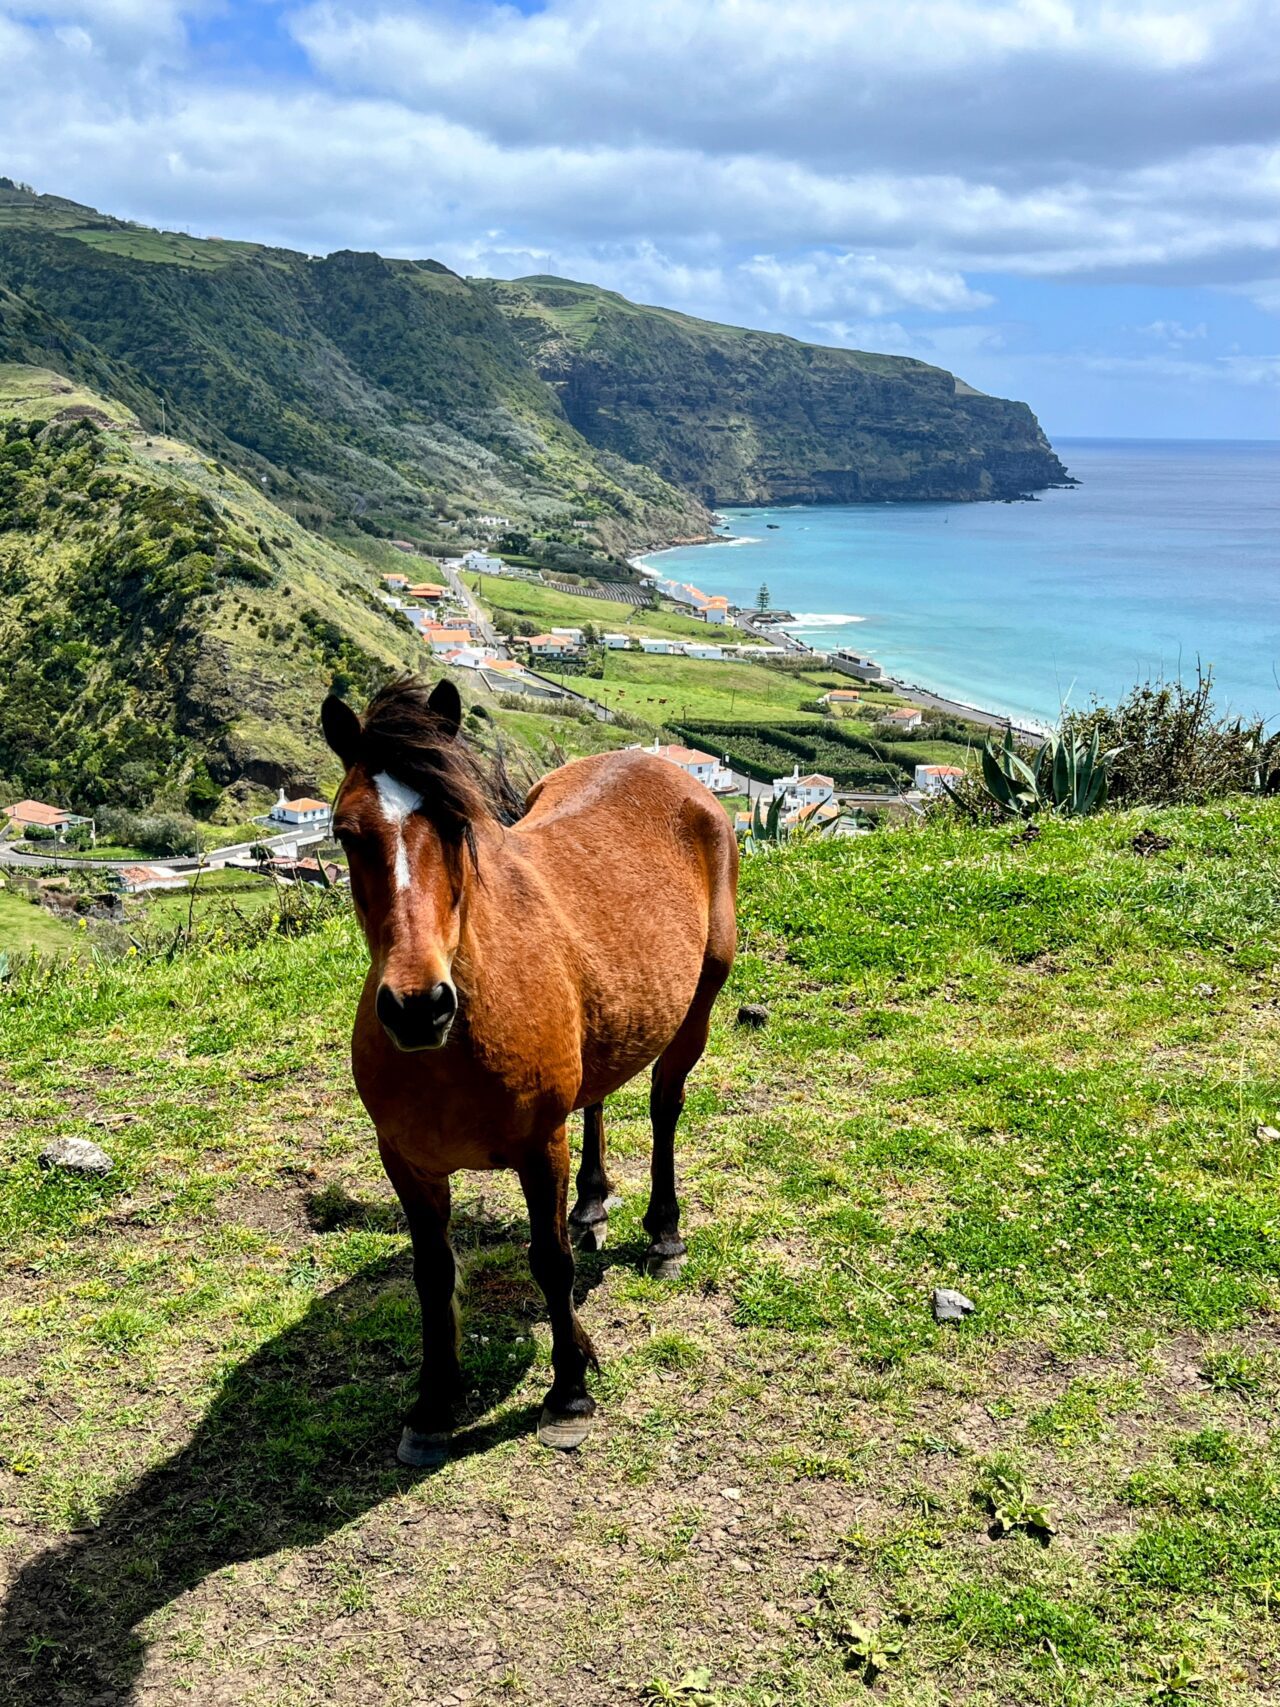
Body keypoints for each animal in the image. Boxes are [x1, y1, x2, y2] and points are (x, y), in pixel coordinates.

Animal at [322, 672, 740, 1461]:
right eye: (344, 832)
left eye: (456, 825)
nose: (417, 1007)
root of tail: (667, 770)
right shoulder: (406, 1162)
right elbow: (433, 1274)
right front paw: (433, 1404)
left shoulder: (538, 1146)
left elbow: (550, 1261)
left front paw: (569, 1391)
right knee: (599, 1097)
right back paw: (594, 1200)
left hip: (701, 999)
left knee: (664, 1104)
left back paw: (664, 1231)